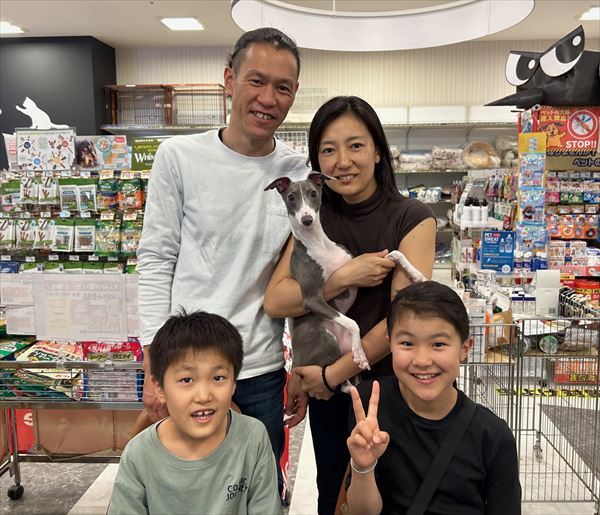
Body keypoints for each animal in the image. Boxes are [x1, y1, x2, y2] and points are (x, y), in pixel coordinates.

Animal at [265, 172, 427, 390]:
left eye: (313, 193)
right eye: (291, 197)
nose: (306, 219)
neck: (319, 245)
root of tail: (296, 364)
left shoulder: (359, 262)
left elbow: (394, 252)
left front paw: (416, 274)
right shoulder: (312, 299)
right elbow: (352, 323)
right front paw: (360, 353)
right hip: (326, 338)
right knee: (337, 380)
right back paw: (354, 374)